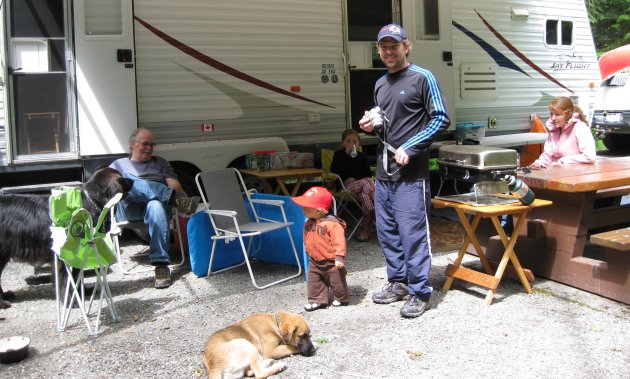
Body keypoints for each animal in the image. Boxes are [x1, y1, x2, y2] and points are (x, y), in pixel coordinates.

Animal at [0, 168, 133, 310]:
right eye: (121, 179)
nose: (133, 181)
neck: (90, 202)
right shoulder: (63, 257)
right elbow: (66, 281)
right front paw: (71, 302)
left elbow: (75, 277)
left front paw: (81, 294)